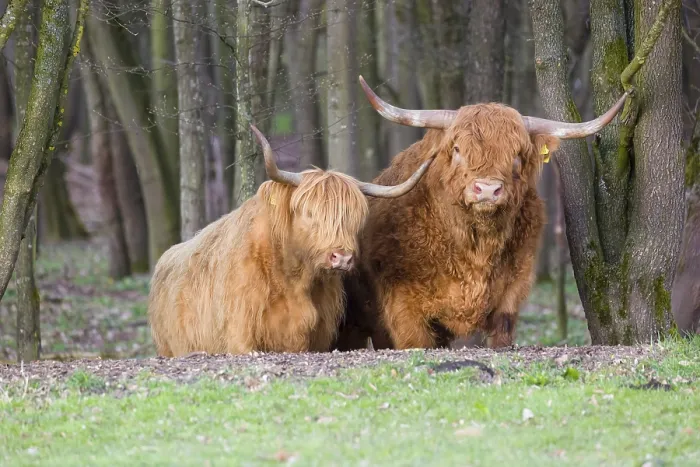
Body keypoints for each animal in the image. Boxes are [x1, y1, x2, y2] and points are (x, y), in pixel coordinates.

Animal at [147, 125, 434, 357]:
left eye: (355, 218)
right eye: (309, 213)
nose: (341, 257)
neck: (294, 278)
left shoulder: (315, 338)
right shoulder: (240, 337)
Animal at [333, 76, 630, 351]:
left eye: (517, 155)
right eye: (457, 149)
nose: (487, 189)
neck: (475, 247)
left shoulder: (511, 294)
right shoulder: (403, 308)